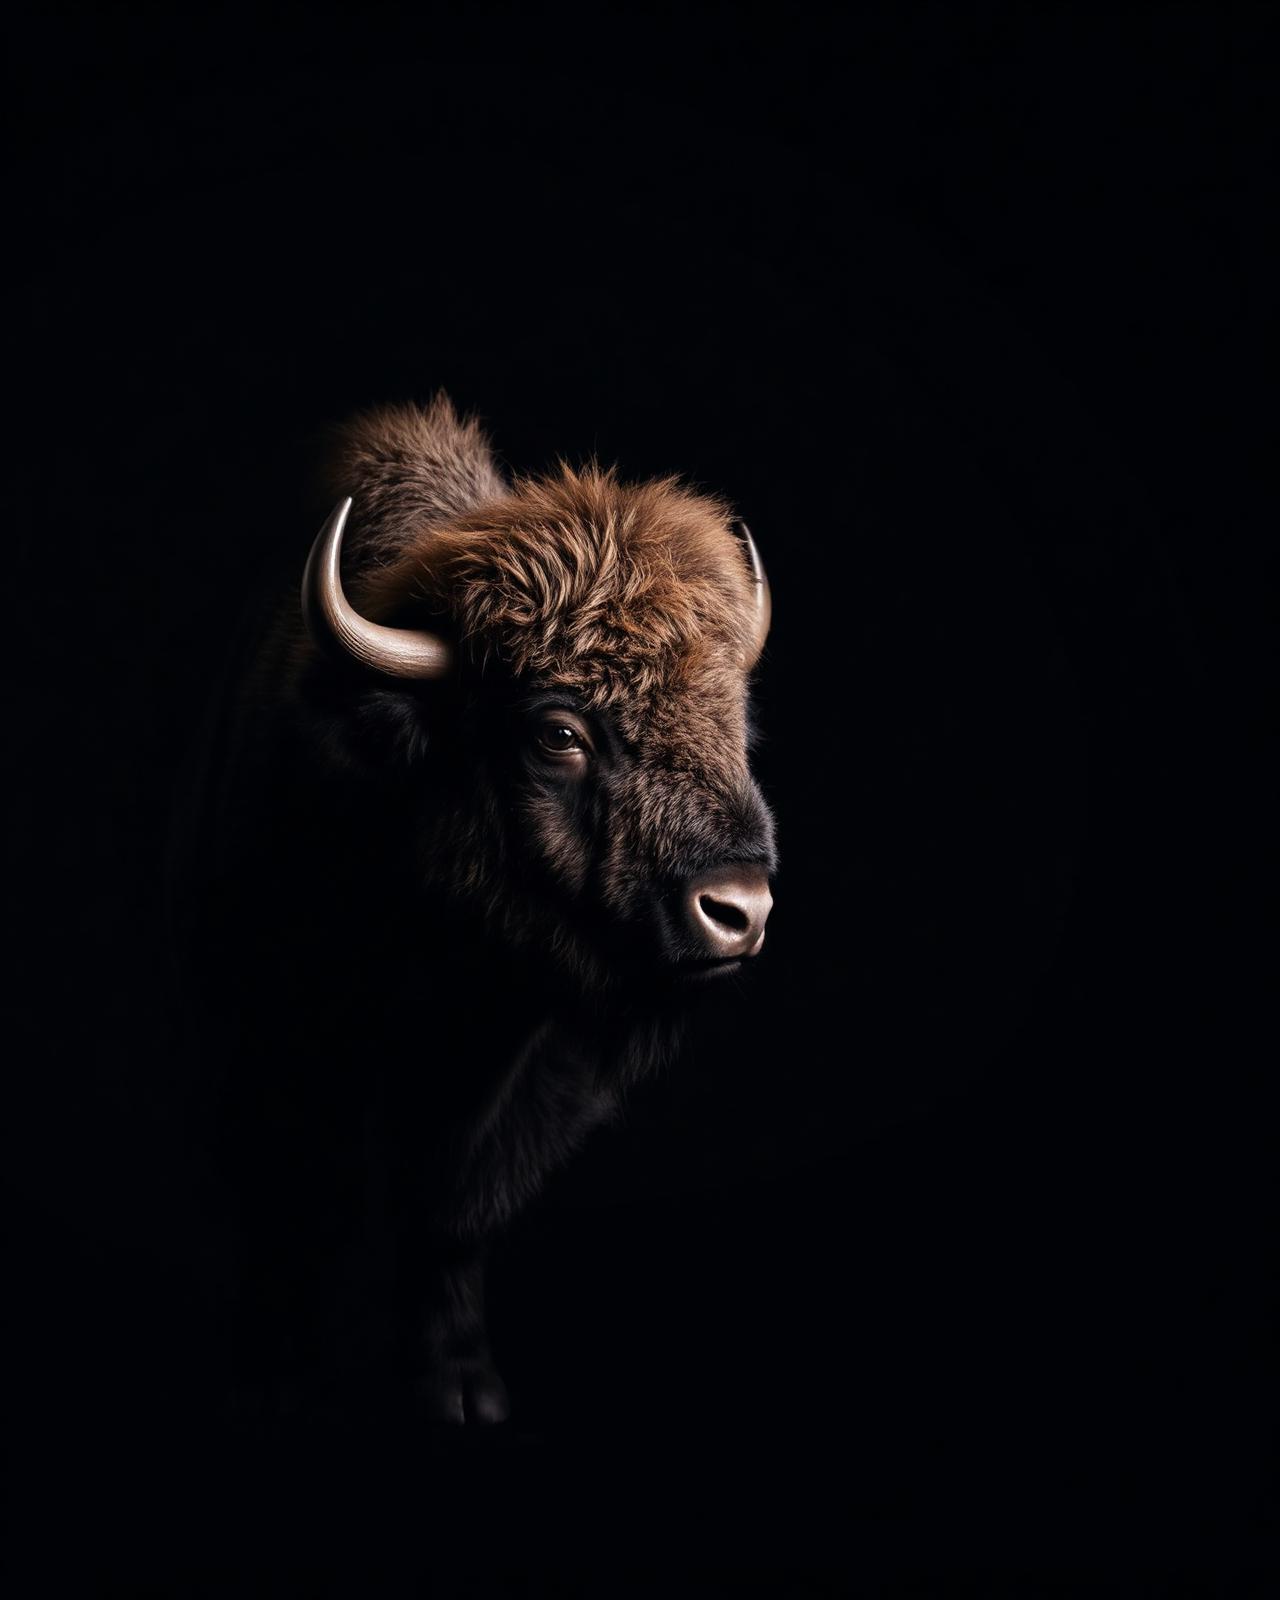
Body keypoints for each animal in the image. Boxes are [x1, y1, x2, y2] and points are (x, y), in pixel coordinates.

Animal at [172, 395, 777, 1422]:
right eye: (559, 732)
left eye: (734, 713)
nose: (739, 908)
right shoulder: (284, 1037)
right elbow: (301, 1200)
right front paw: (279, 1369)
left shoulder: (530, 1075)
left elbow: (452, 1210)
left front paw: (462, 1388)